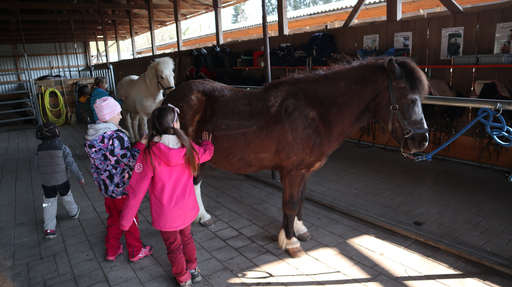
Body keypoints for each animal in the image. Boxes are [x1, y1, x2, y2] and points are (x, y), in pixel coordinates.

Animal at [163, 56, 428, 258]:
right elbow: (290, 204)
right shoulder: (294, 171)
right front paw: (291, 242)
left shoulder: (303, 171)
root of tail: (169, 99)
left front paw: (299, 230)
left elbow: (299, 201)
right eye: (410, 99)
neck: (315, 112)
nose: (422, 141)